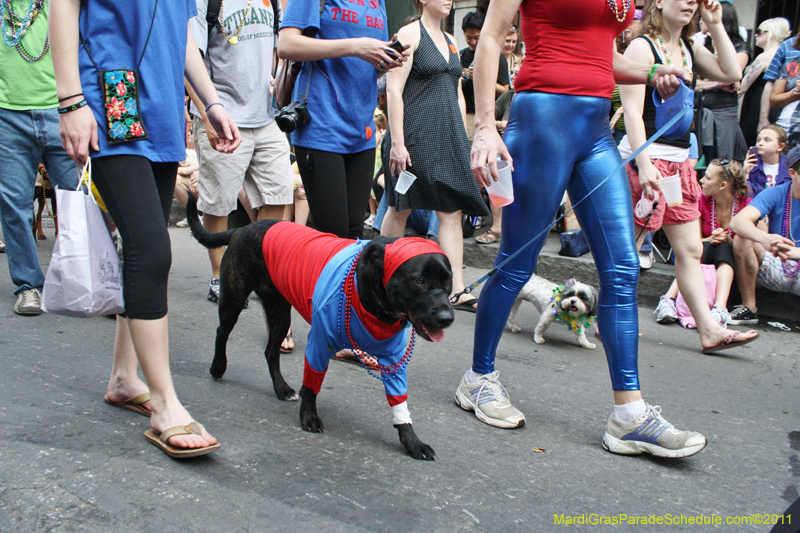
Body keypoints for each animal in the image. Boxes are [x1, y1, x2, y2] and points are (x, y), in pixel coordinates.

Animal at [184, 194, 454, 458]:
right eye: (419, 281)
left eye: (448, 281)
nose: (447, 318)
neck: (370, 292)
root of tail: (244, 228)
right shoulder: (319, 343)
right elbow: (313, 383)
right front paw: (309, 416)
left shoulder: (393, 358)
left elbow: (399, 399)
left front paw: (412, 441)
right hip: (234, 300)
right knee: (222, 332)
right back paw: (218, 366)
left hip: (280, 314)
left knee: (270, 352)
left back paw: (282, 389)